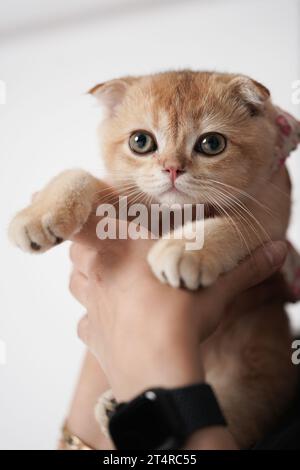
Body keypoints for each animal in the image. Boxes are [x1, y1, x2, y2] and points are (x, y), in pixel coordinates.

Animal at [8, 70, 300, 448]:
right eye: (141, 141)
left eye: (212, 144)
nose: (172, 169)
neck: (174, 215)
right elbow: (80, 176)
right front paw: (38, 215)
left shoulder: (271, 217)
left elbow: (236, 224)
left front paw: (185, 249)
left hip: (254, 379)